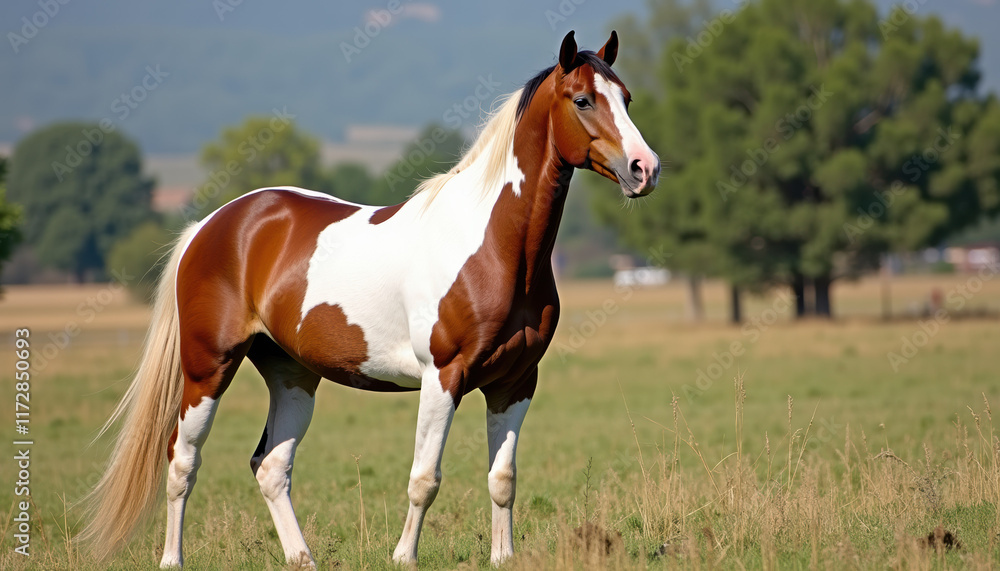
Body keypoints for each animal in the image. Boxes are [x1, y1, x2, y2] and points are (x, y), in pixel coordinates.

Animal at [80, 30, 659, 568]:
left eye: (627, 97)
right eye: (582, 99)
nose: (644, 168)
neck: (494, 247)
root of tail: (214, 224)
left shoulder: (515, 382)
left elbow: (503, 478)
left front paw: (503, 557)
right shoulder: (444, 377)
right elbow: (425, 478)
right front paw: (403, 557)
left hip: (292, 375)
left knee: (271, 466)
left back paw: (302, 558)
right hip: (208, 368)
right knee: (182, 461)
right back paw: (172, 558)